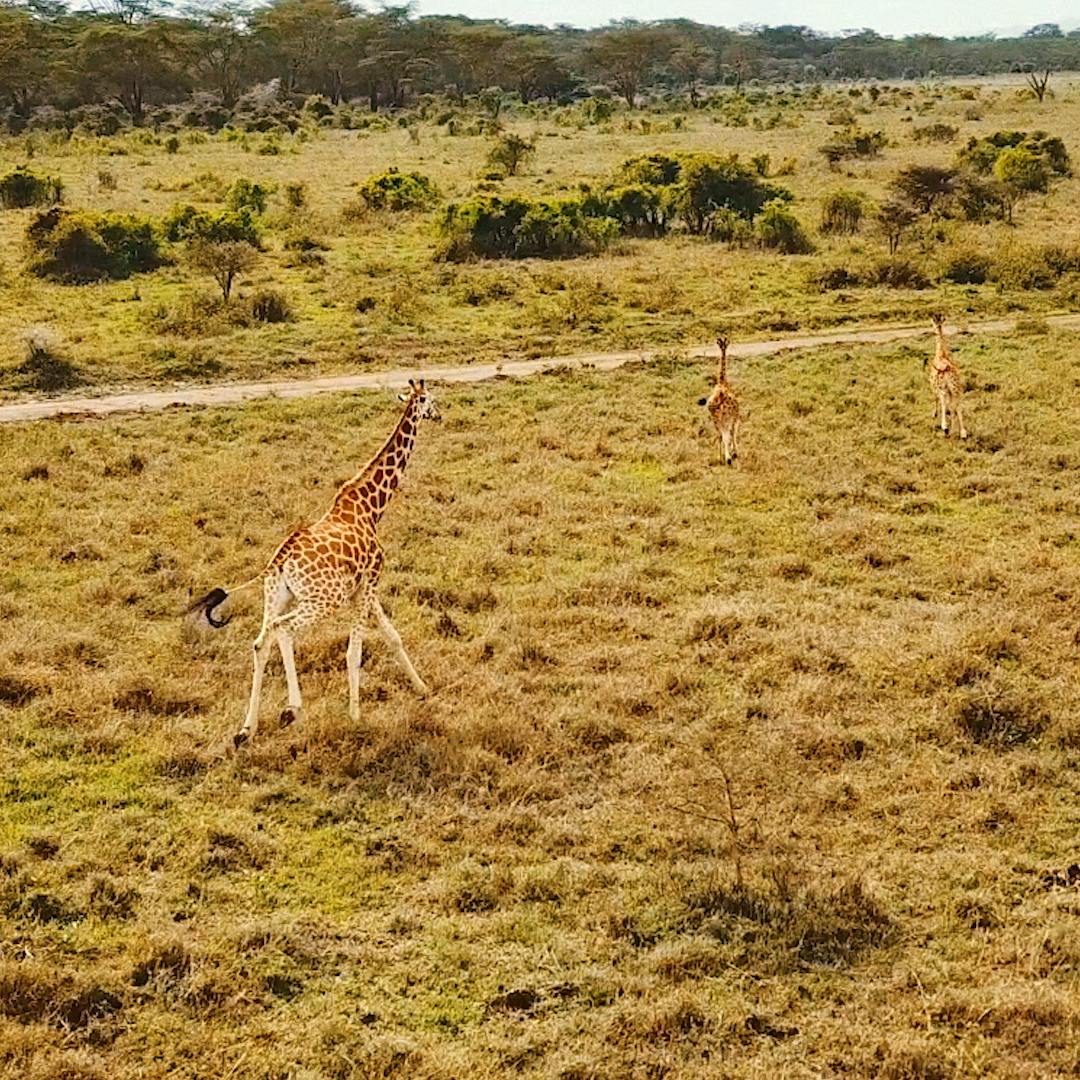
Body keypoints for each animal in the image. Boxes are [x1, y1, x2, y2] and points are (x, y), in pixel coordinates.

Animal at [187, 379, 440, 747]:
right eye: (431, 399)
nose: (439, 414)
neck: (371, 508)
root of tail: (280, 558)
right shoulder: (368, 583)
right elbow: (354, 651)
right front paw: (355, 716)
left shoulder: (363, 589)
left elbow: (393, 636)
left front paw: (423, 688)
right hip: (320, 601)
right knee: (284, 630)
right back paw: (292, 709)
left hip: (276, 595)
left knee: (261, 641)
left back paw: (246, 730)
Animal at [698, 335, 741, 465]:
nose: (724, 348)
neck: (722, 382)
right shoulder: (735, 418)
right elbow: (733, 434)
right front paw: (735, 453)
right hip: (725, 418)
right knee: (726, 435)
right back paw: (728, 458)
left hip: (716, 419)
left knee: (720, 435)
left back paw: (720, 457)